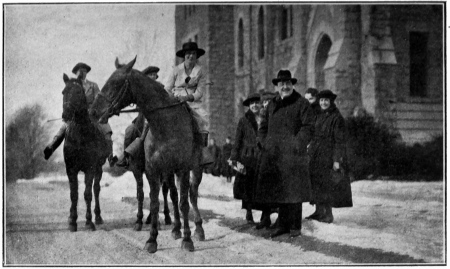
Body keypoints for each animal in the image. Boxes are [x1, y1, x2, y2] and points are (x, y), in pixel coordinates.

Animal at [60, 73, 108, 230]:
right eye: (64, 92)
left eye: (78, 92)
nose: (66, 114)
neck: (80, 135)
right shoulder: (70, 169)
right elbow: (73, 194)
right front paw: (73, 221)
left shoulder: (90, 168)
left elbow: (87, 193)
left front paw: (88, 221)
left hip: (99, 168)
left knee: (96, 189)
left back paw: (97, 217)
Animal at [90, 56, 206, 251]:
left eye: (115, 83)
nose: (92, 111)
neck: (166, 125)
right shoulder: (152, 170)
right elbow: (152, 201)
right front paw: (152, 239)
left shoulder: (182, 169)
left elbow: (184, 203)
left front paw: (187, 240)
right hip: (167, 171)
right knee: (173, 195)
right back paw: (175, 228)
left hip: (196, 168)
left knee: (192, 194)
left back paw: (198, 229)